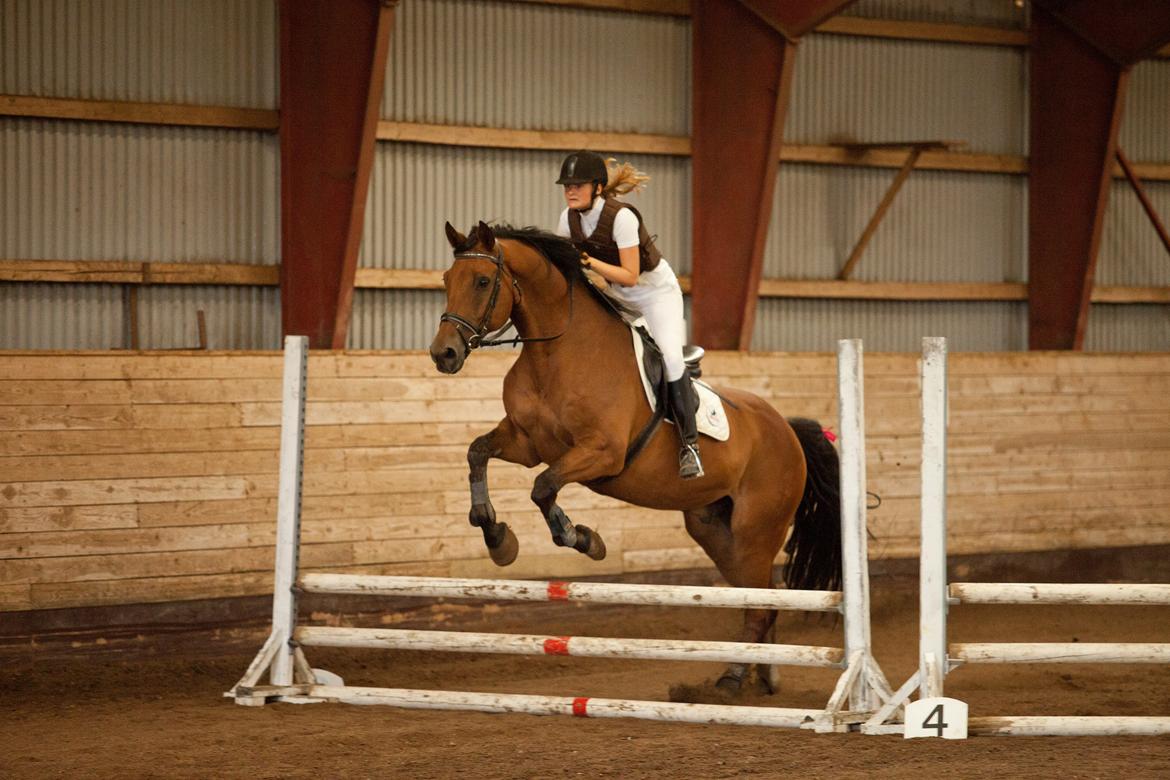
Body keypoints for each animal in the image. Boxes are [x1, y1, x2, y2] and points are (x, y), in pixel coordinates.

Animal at [429, 220, 842, 693]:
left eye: (481, 281)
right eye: (447, 280)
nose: (443, 354)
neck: (555, 353)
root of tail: (787, 431)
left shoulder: (601, 453)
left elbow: (543, 487)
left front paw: (583, 539)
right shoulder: (526, 444)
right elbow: (477, 453)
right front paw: (497, 537)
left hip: (756, 532)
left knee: (760, 605)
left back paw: (734, 680)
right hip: (716, 532)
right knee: (760, 600)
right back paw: (760, 676)